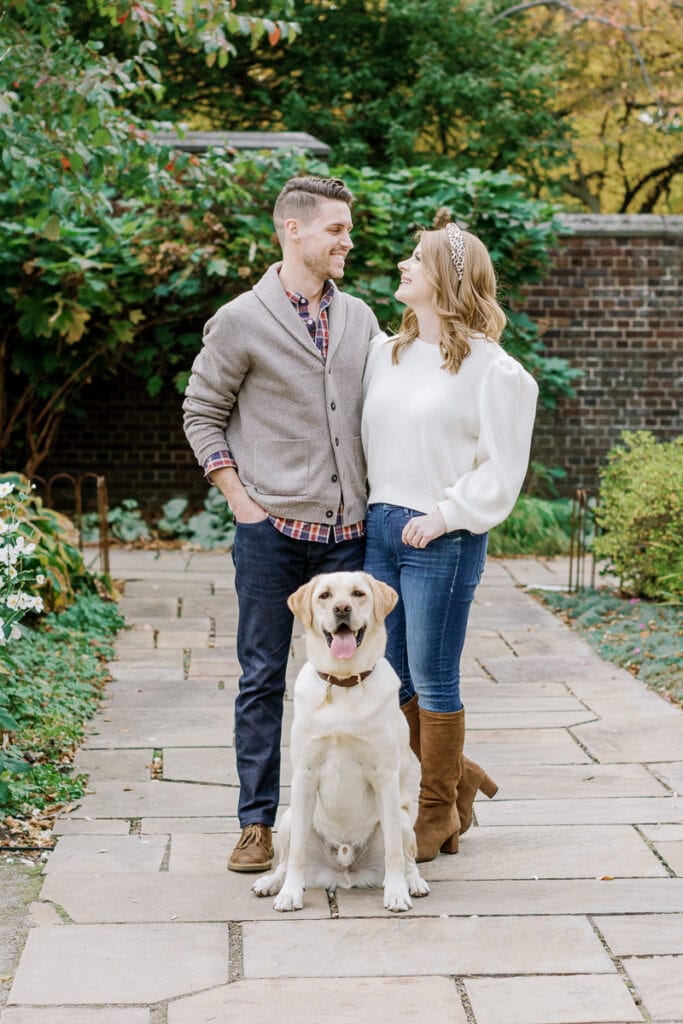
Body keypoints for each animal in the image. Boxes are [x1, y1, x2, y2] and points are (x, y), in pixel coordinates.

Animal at [253, 573, 430, 917]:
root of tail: (345, 872)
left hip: (403, 819)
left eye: (358, 593)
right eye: (325, 595)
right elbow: (296, 856)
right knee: (284, 861)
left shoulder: (385, 777)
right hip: (289, 818)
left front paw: (397, 894)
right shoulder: (304, 775)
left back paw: (413, 882)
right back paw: (272, 883)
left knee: (408, 857)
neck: (343, 681)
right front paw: (290, 894)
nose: (342, 608)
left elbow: (394, 852)